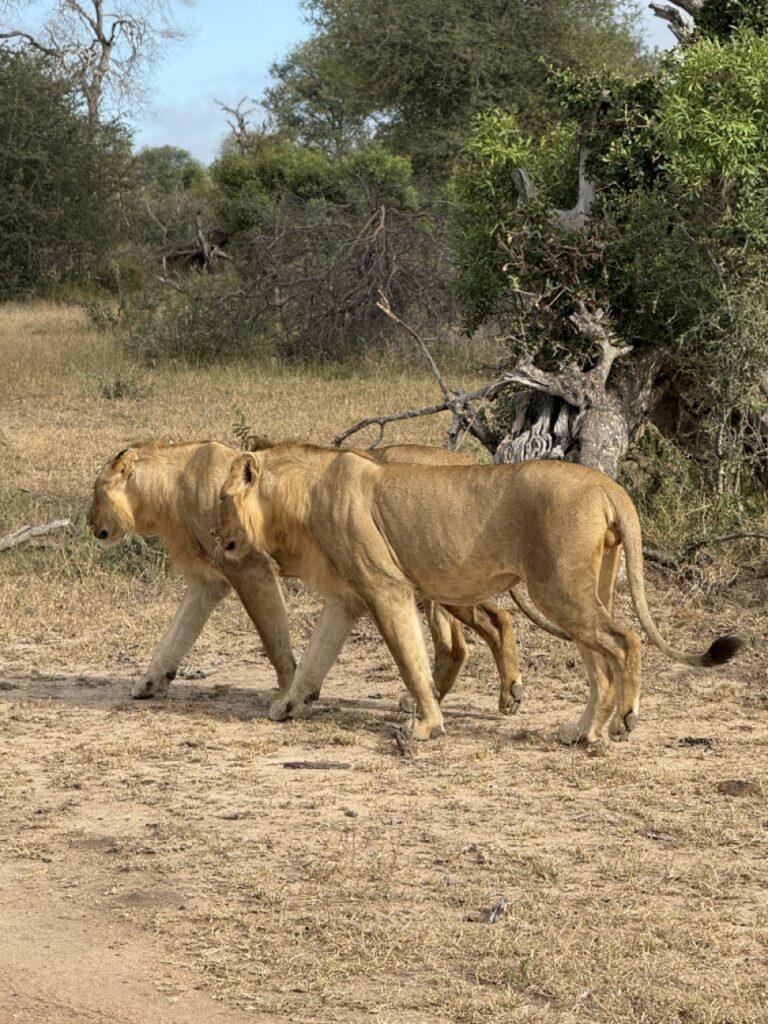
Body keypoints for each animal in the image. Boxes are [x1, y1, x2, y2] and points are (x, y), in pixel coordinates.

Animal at [87, 440, 524, 709]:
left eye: (94, 492)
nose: (89, 523)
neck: (171, 487)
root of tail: (469, 463)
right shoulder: (208, 584)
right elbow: (174, 636)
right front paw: (149, 682)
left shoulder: (252, 568)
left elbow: (272, 636)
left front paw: (289, 688)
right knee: (466, 638)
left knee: (495, 620)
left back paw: (508, 694)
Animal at [215, 443, 741, 743]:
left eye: (221, 497)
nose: (215, 534)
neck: (299, 501)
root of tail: (608, 484)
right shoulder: (346, 600)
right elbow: (313, 659)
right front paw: (284, 706)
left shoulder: (388, 588)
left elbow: (411, 661)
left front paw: (426, 725)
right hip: (584, 590)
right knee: (599, 664)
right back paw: (581, 732)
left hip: (560, 588)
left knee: (624, 641)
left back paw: (621, 722)